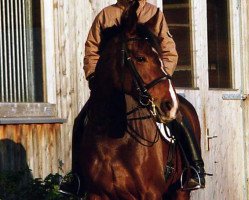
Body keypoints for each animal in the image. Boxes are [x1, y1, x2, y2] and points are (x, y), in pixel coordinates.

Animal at [73, 2, 201, 199]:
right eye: (141, 58)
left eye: (161, 57)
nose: (170, 105)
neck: (113, 136)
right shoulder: (96, 194)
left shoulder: (150, 193)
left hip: (181, 191)